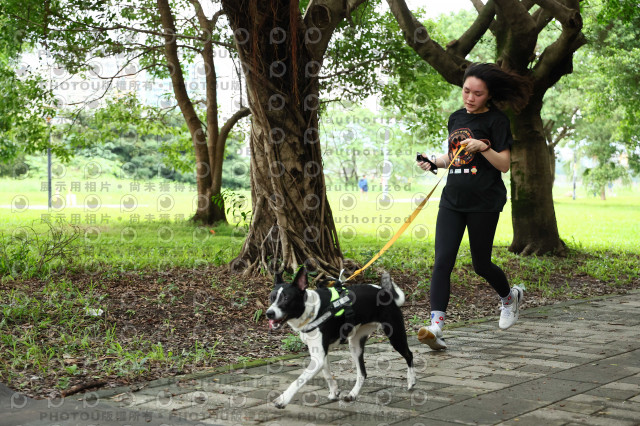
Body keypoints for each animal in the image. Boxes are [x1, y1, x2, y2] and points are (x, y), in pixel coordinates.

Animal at [264, 266, 416, 410]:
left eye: (286, 298)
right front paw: (334, 391)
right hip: (355, 344)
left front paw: (282, 399)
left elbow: (298, 380)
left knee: (409, 355)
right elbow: (327, 373)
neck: (312, 311)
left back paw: (411, 380)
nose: (269, 313)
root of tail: (385, 292)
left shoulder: (318, 357)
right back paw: (352, 394)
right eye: (272, 297)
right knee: (362, 373)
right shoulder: (320, 354)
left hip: (395, 336)